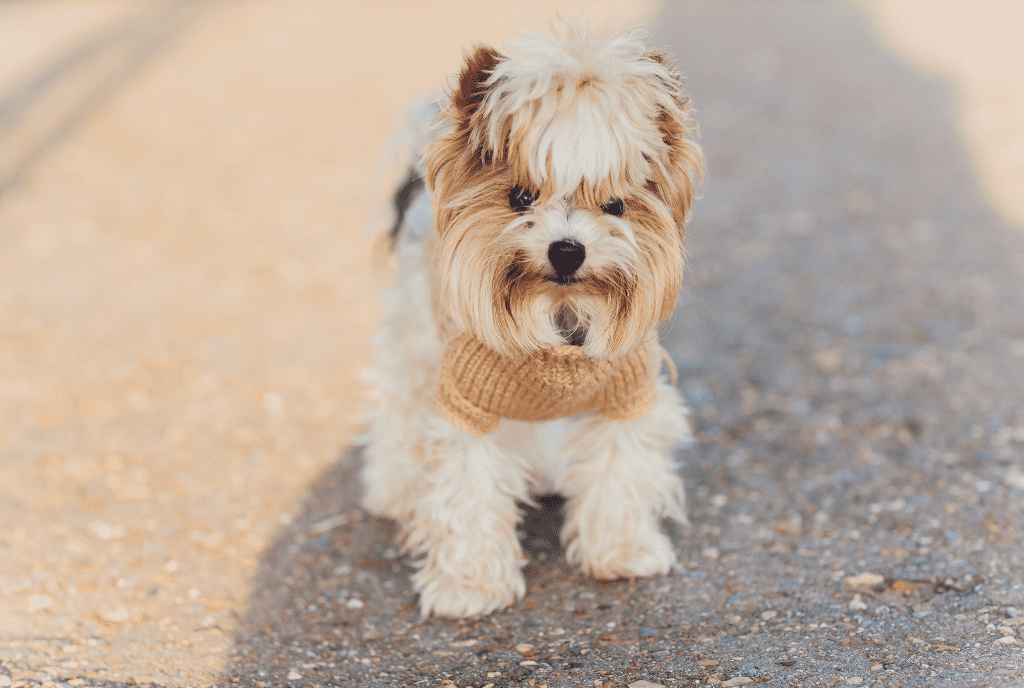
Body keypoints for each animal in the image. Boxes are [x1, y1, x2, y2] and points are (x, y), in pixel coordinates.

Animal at [360, 24, 704, 622]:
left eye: (615, 205)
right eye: (521, 197)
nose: (567, 249)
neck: (559, 309)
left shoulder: (627, 390)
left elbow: (620, 467)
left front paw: (621, 549)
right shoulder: (466, 399)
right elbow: (466, 486)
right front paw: (470, 584)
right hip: (414, 337)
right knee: (399, 409)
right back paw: (395, 490)